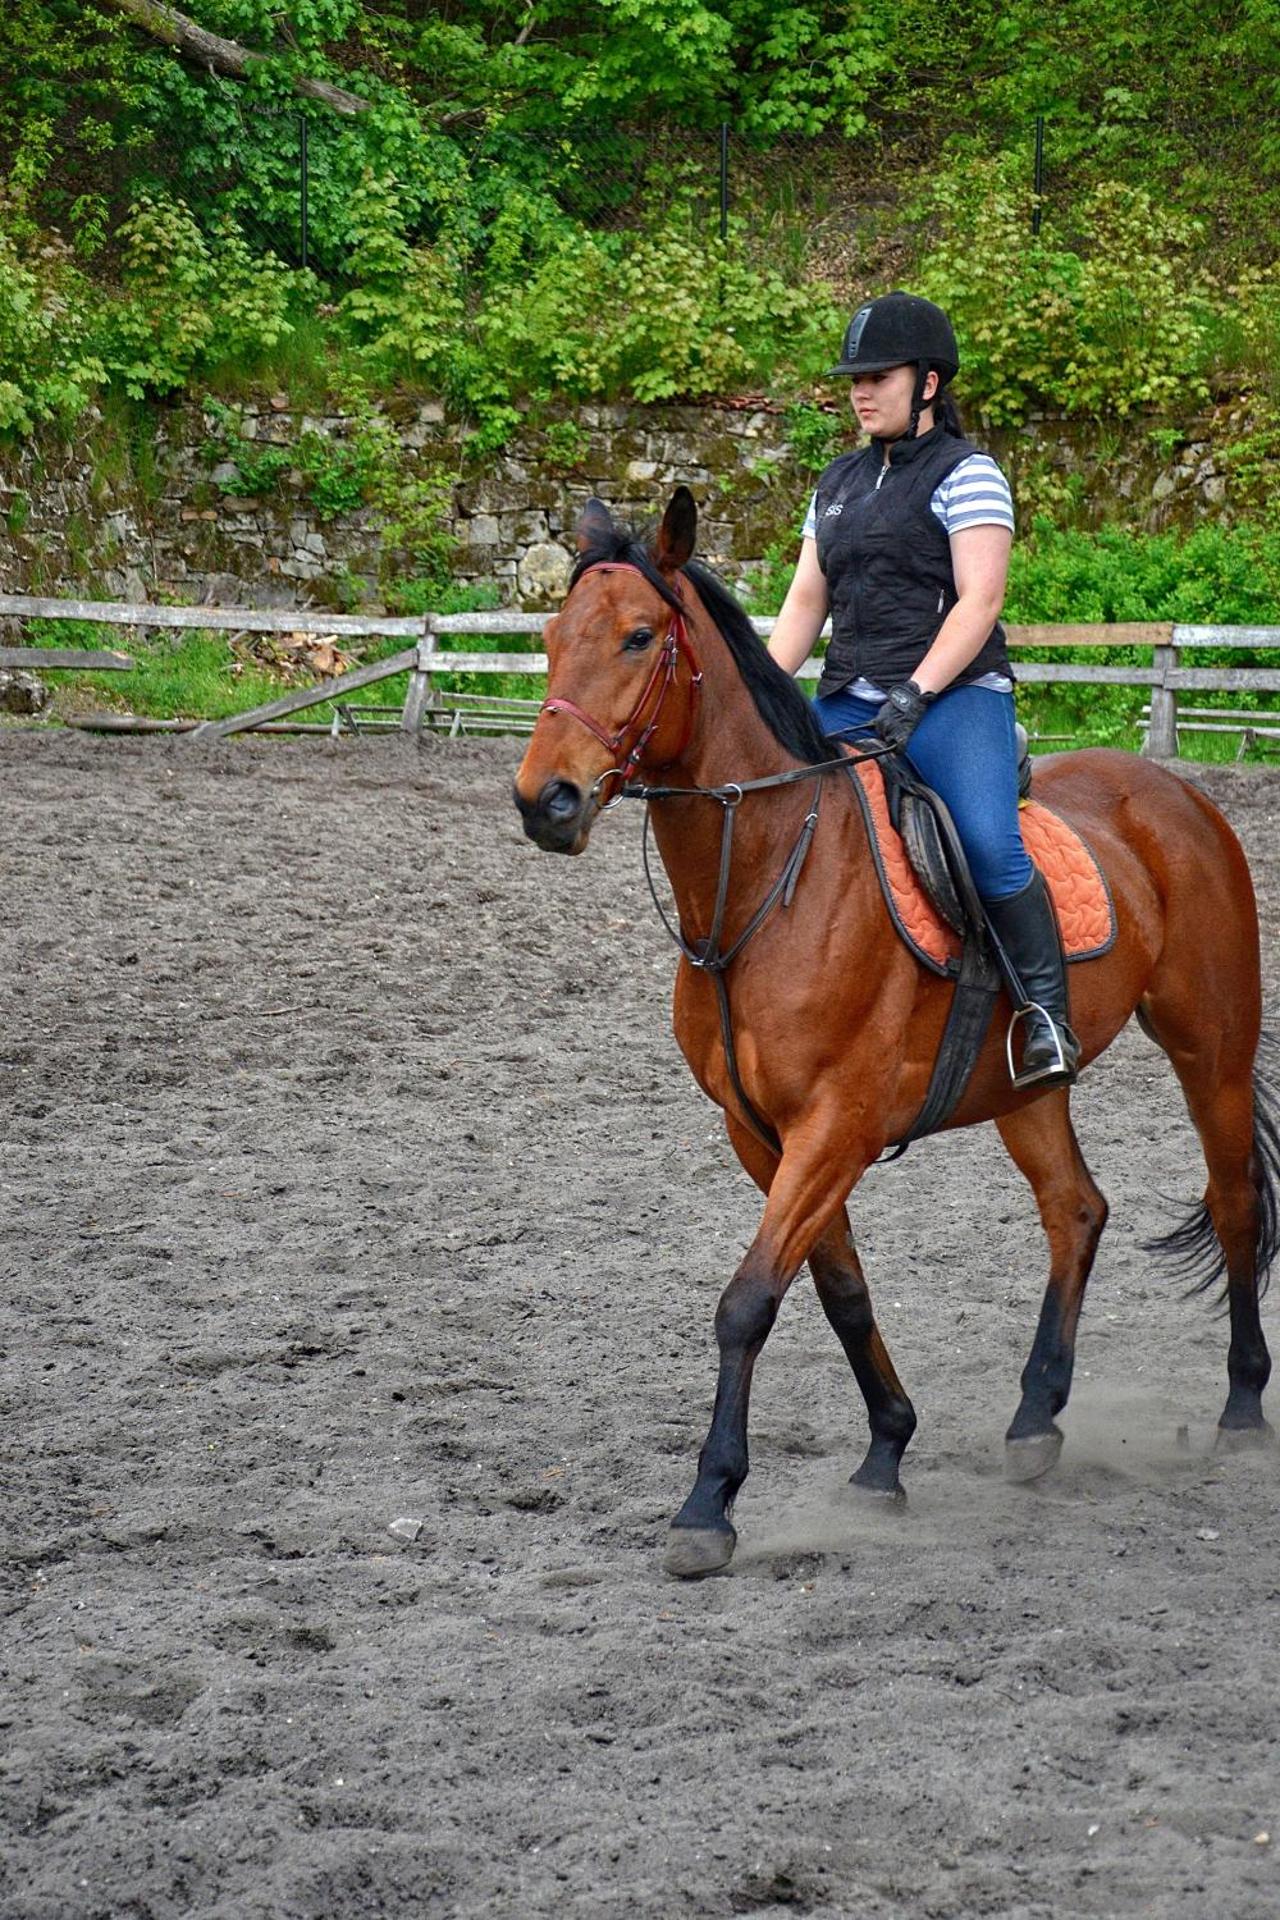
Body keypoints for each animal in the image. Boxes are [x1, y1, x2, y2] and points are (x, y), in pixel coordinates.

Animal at [512, 487, 1280, 1579]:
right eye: (547, 640)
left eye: (637, 637)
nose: (547, 802)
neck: (767, 881)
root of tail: (1176, 795)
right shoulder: (764, 1136)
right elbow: (839, 1293)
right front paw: (884, 1454)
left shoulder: (835, 1126)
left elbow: (747, 1301)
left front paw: (707, 1506)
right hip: (1022, 1088)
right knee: (1076, 1210)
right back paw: (1035, 1417)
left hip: (1208, 1047)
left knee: (1233, 1203)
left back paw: (1239, 1410)